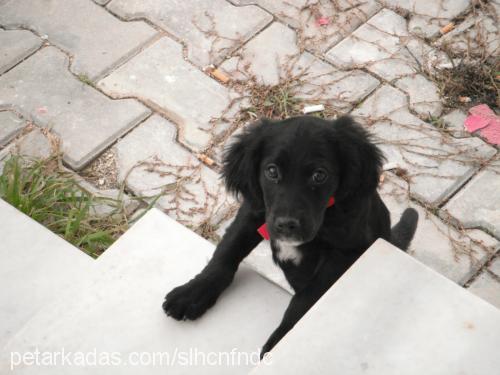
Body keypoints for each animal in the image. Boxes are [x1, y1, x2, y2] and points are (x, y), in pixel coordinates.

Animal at [163, 117, 418, 358]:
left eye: (319, 175)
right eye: (272, 171)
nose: (286, 225)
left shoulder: (348, 252)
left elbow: (306, 298)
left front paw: (279, 340)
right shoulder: (255, 212)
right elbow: (226, 252)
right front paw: (193, 292)